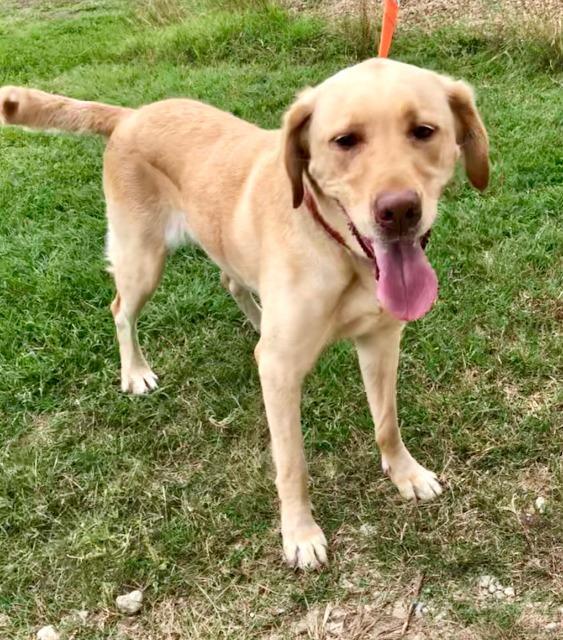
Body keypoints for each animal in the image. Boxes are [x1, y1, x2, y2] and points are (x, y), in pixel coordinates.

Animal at [0, 57, 490, 568]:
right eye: (345, 140)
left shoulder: (381, 340)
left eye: (423, 131)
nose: (399, 212)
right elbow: (292, 463)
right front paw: (300, 533)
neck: (339, 251)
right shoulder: (280, 372)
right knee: (120, 309)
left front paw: (405, 473)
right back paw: (135, 372)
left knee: (231, 282)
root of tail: (130, 114)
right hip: (142, 261)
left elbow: (387, 423)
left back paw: (255, 322)